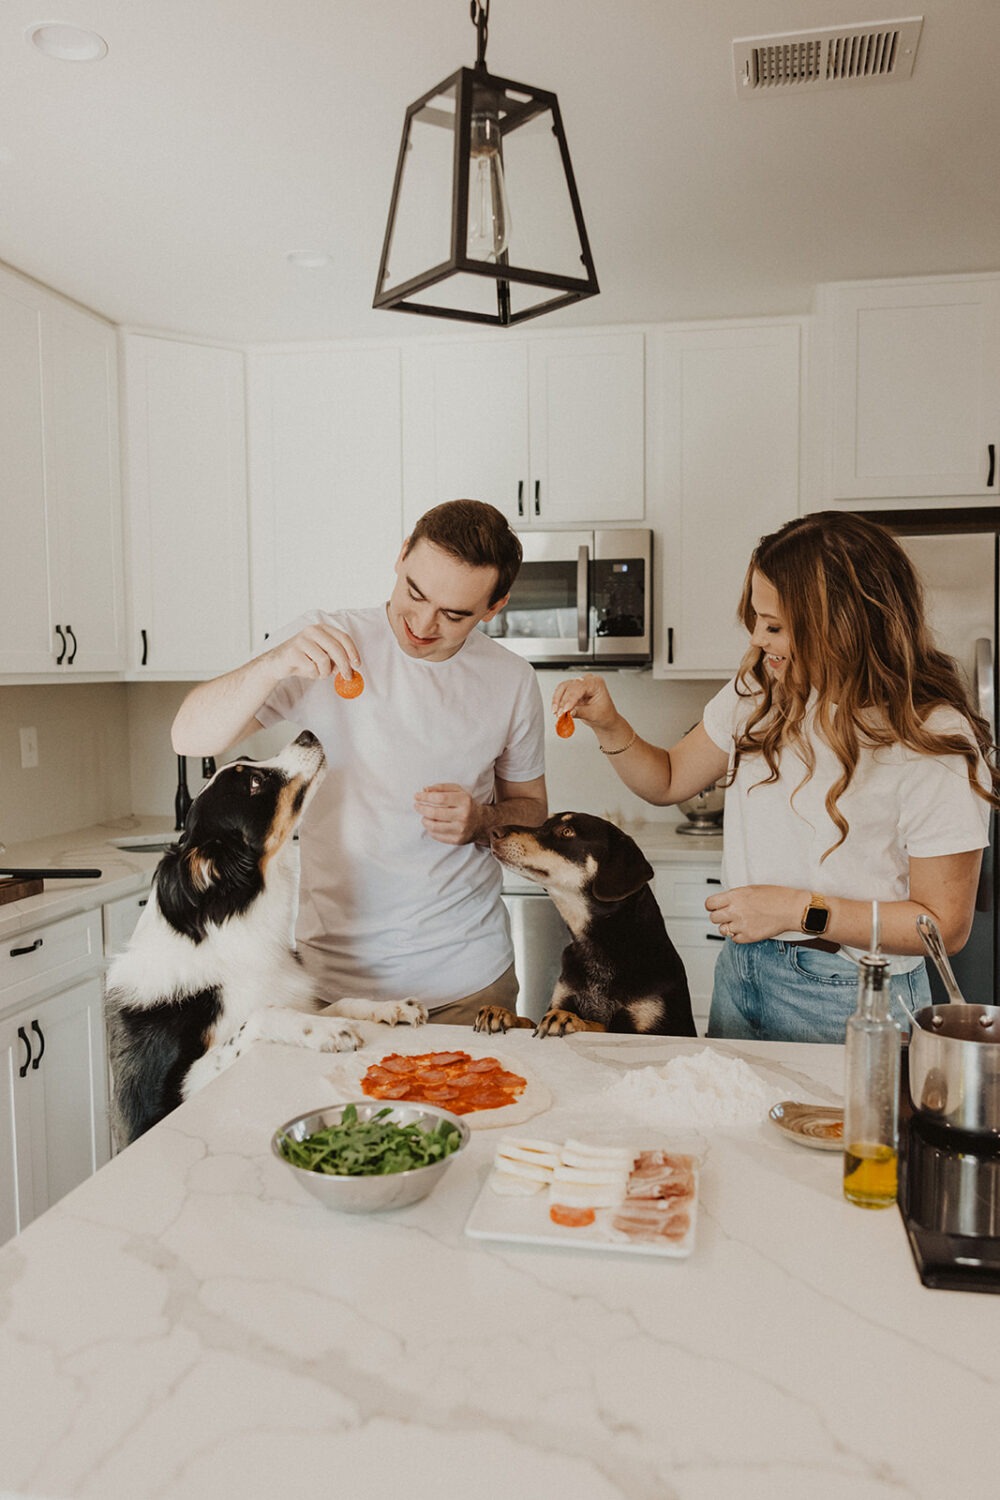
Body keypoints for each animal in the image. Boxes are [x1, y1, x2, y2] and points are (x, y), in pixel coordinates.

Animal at [106, 732, 425, 1140]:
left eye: (248, 758)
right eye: (255, 785)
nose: (306, 734)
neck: (235, 926)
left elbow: (334, 1001)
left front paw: (388, 1006)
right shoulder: (167, 1096)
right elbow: (260, 1017)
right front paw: (327, 1031)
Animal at [476, 816, 695, 1038]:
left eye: (567, 831)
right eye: (544, 823)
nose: (493, 832)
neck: (600, 948)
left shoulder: (656, 1028)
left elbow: (602, 1028)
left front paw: (569, 1019)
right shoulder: (563, 998)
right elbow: (530, 1021)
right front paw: (503, 1013)